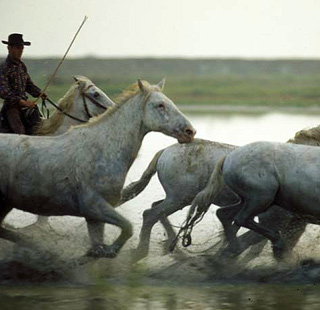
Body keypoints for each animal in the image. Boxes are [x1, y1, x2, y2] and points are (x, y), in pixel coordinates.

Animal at [0, 78, 195, 258]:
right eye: (160, 105)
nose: (190, 131)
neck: (102, 148)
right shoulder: (94, 206)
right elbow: (127, 228)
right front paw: (112, 251)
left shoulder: (95, 218)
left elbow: (103, 241)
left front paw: (98, 253)